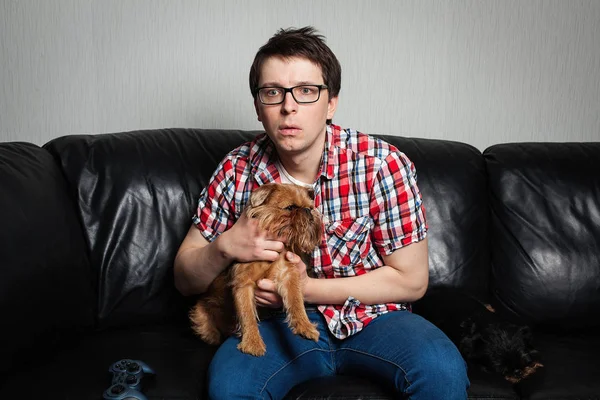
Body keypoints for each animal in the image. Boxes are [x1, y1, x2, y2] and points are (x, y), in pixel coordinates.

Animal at [191, 184, 324, 356]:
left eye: (310, 207)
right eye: (290, 208)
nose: (308, 211)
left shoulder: (288, 275)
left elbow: (296, 301)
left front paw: (304, 325)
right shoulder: (243, 284)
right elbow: (247, 315)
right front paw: (252, 342)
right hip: (201, 315)